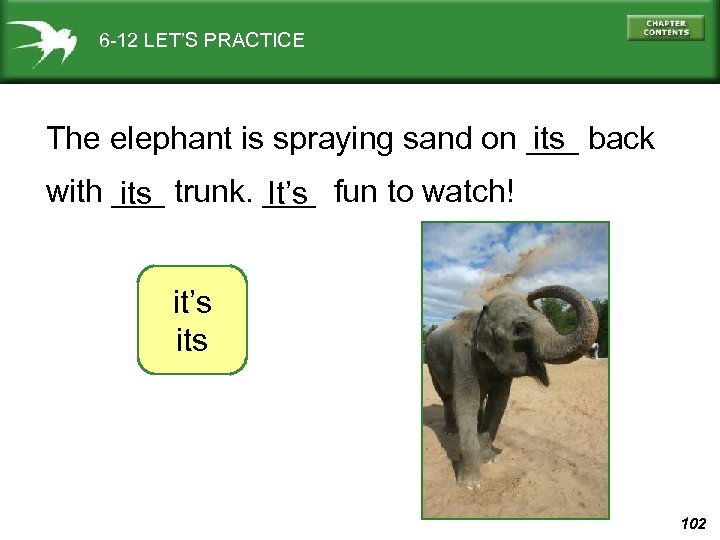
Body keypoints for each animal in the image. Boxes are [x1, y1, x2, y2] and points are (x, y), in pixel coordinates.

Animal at [424, 285, 599, 488]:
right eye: (520, 328)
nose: (531, 293)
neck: (481, 317)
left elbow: (499, 402)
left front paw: (489, 459)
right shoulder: (463, 357)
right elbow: (466, 403)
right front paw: (471, 485)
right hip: (430, 364)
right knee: (446, 397)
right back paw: (451, 432)